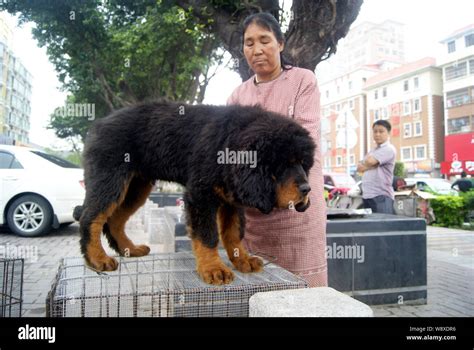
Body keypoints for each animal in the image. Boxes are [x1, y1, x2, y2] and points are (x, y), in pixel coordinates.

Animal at [76, 100, 314, 286]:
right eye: (283, 164)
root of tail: (98, 124)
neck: (229, 145)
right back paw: (97, 258)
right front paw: (213, 268)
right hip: (111, 178)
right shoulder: (201, 195)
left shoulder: (232, 198)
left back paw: (129, 249)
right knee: (91, 217)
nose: (307, 189)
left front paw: (242, 259)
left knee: (115, 220)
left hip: (136, 187)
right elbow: (208, 235)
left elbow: (234, 233)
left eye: (303, 163)